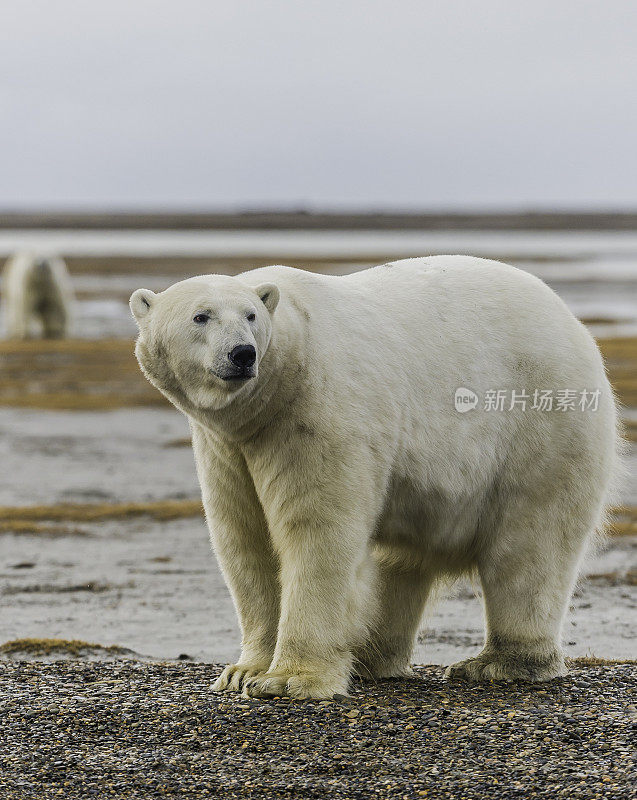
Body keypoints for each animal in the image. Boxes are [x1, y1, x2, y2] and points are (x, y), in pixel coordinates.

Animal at [129, 258, 620, 700]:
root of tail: (570, 320)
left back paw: (498, 663)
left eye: (250, 315)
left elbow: (316, 530)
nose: (243, 354)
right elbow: (245, 537)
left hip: (541, 422)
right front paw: (241, 672)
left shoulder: (317, 413)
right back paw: (370, 657)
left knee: (531, 544)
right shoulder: (227, 447)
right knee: (402, 559)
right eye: (201, 315)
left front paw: (288, 680)